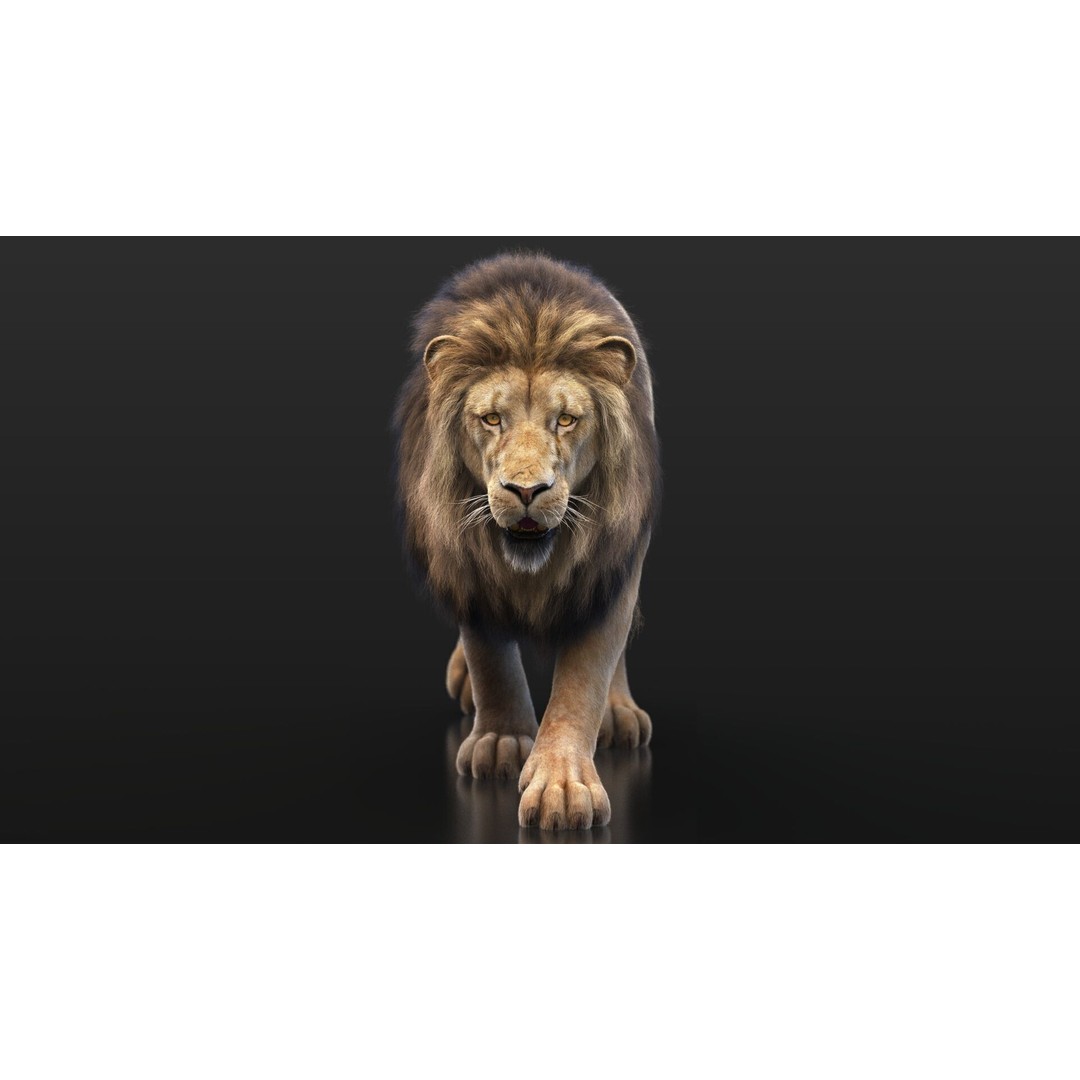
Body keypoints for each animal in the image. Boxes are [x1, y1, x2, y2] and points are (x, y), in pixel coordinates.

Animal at [393, 252, 660, 830]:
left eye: (566, 419)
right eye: (492, 418)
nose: (526, 490)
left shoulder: (609, 562)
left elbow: (584, 677)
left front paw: (562, 784)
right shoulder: (467, 565)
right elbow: (490, 658)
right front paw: (501, 740)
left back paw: (619, 713)